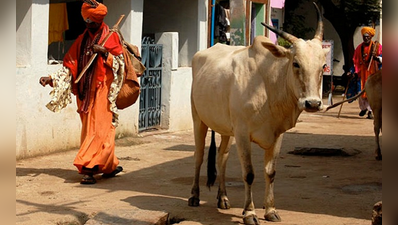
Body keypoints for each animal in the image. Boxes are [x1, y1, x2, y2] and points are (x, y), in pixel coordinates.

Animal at [188, 2, 328, 224]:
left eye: (323, 66)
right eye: (296, 63)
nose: (313, 103)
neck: (269, 85)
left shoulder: (277, 134)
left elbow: (270, 172)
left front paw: (270, 210)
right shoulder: (243, 134)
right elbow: (249, 174)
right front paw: (249, 213)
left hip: (227, 130)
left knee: (222, 157)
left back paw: (223, 198)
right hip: (198, 119)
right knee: (199, 156)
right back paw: (194, 196)